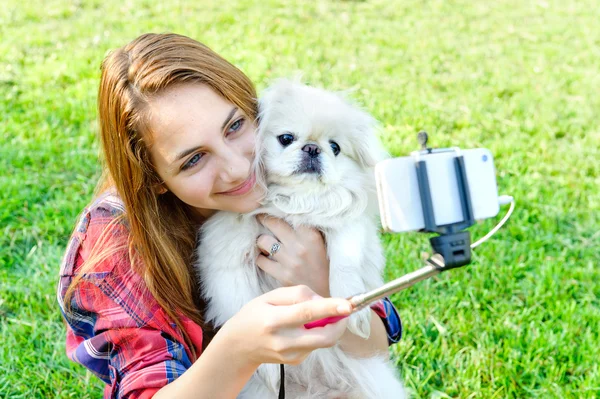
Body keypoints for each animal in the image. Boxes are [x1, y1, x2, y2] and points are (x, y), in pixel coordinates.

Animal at [197, 79, 408, 398]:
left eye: (335, 148)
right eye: (286, 138)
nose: (312, 148)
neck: (295, 201)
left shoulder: (347, 227)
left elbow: (344, 263)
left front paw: (353, 309)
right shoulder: (228, 260)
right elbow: (243, 306)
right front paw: (269, 369)